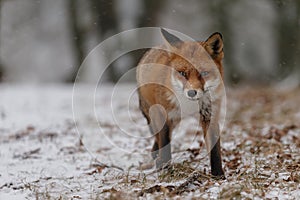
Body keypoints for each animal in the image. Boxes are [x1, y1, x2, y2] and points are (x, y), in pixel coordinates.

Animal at [137, 28, 224, 178]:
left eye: (204, 73)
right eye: (183, 73)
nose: (191, 93)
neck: (188, 105)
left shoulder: (209, 116)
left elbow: (214, 150)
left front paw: (218, 175)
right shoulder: (163, 113)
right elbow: (165, 142)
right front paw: (165, 168)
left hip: (175, 120)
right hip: (156, 115)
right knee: (158, 138)